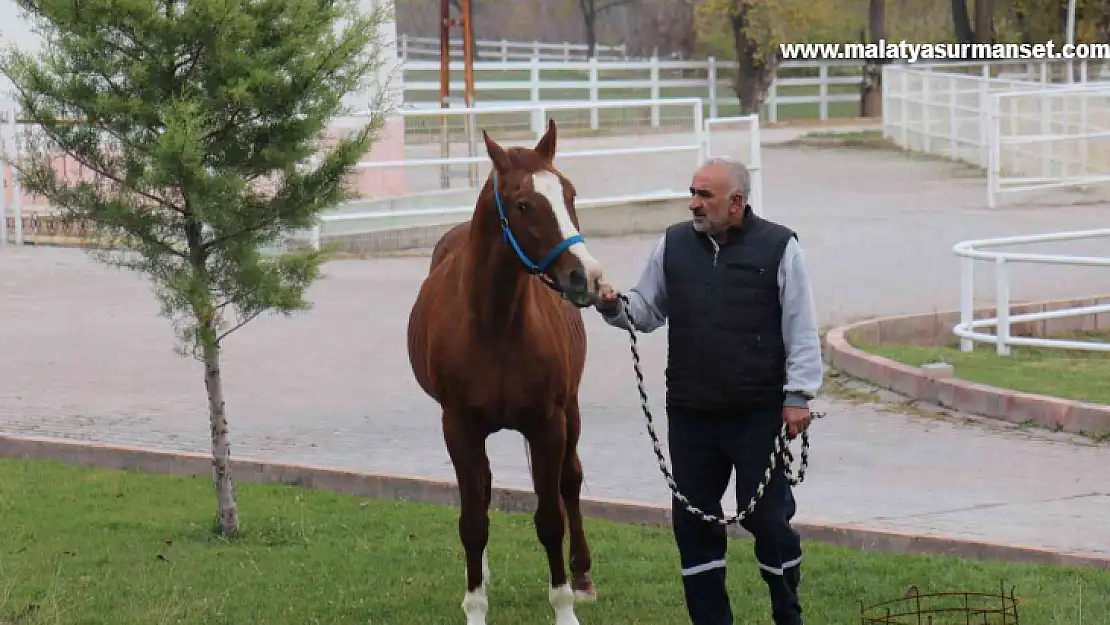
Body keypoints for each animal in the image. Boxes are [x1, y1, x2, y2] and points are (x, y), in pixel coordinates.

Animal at [404, 118, 603, 625]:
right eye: (524, 204)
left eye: (570, 193)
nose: (587, 277)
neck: (495, 325)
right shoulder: (459, 427)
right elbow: (473, 520)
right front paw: (475, 605)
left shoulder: (548, 424)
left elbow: (550, 518)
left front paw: (564, 607)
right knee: (484, 488)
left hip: (572, 410)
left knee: (570, 482)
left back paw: (582, 576)